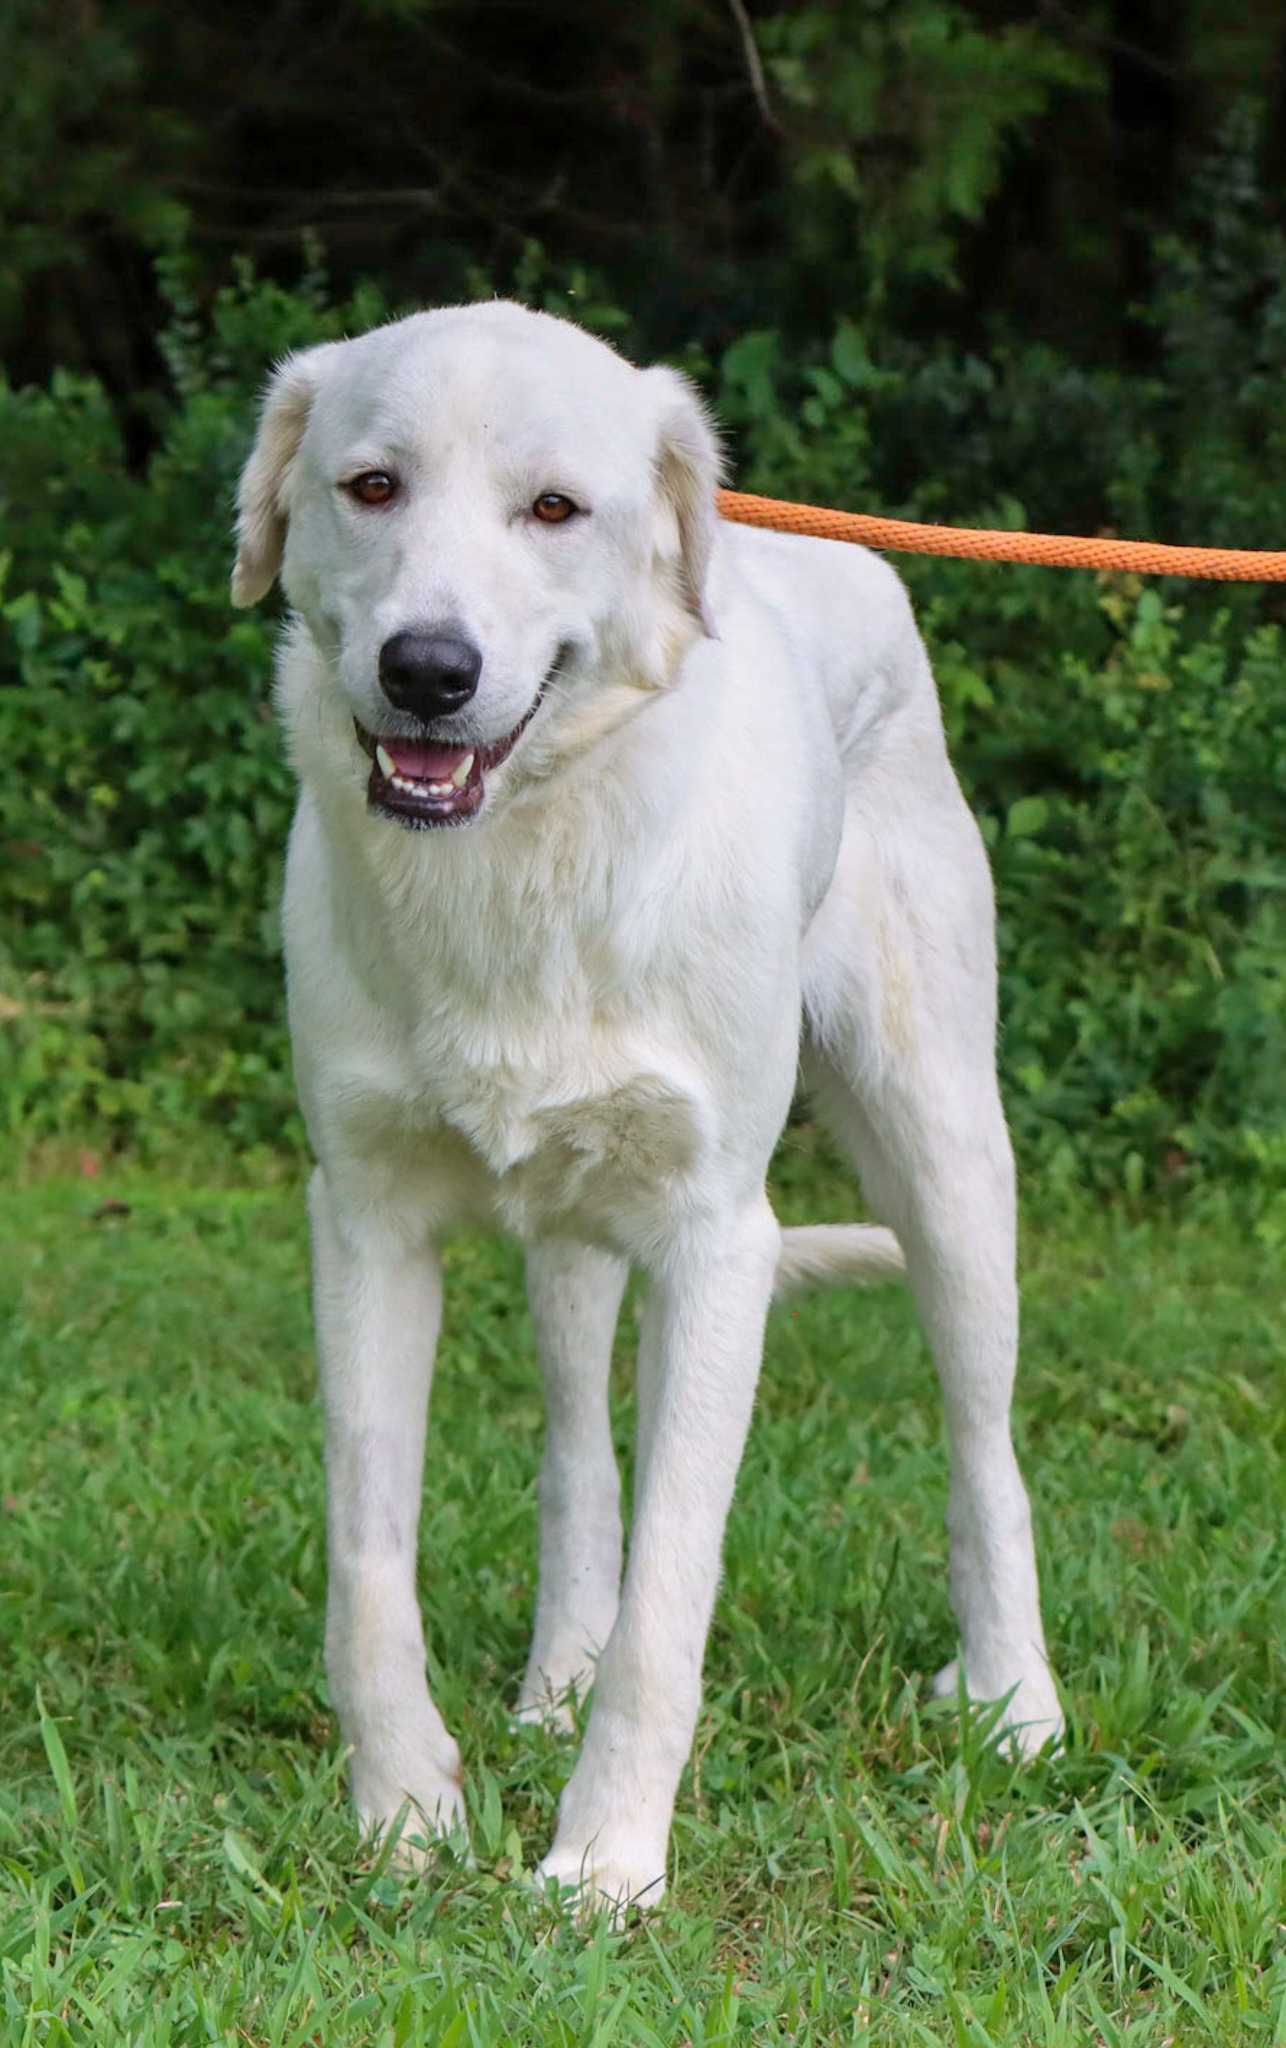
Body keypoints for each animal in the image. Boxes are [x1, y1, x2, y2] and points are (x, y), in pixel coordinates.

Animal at [233, 296, 1064, 1908]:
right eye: (371, 486)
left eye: (555, 510)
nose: (427, 668)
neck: (524, 851)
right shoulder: (360, 1218)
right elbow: (370, 1566)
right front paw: (405, 1819)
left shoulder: (715, 1240)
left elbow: (671, 1600)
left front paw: (606, 1864)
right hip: (569, 1240)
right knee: (576, 1459)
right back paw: (551, 1673)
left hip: (945, 1164)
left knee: (986, 1452)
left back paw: (1014, 1705)